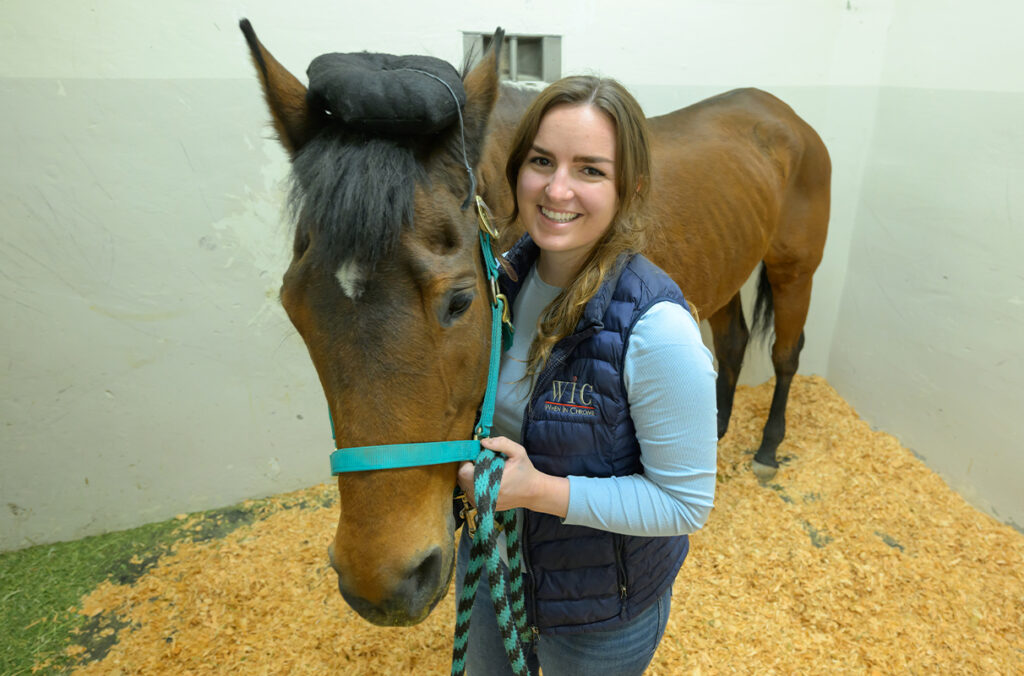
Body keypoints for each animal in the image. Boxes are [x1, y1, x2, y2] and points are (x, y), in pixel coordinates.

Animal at [240, 20, 830, 627]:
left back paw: (767, 449)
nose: (381, 585)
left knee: (785, 356)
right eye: (293, 305)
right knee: (732, 345)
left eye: (459, 302)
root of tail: (785, 115)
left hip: (794, 270)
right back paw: (713, 431)